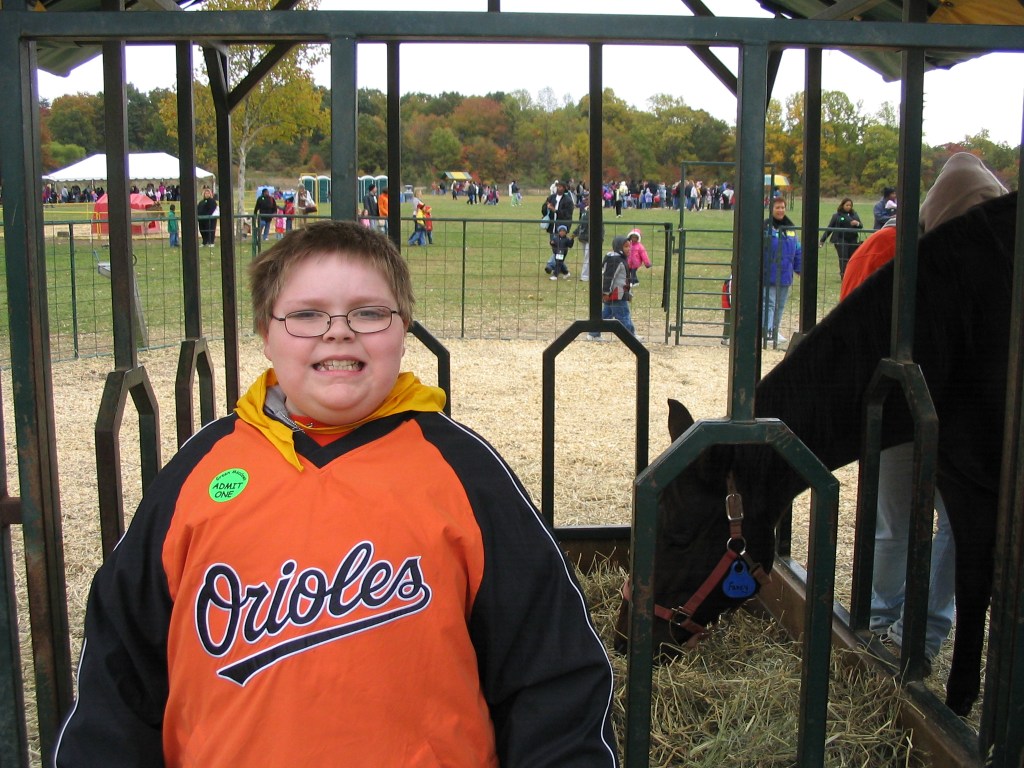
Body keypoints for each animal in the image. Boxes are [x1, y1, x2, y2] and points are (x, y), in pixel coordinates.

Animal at [615, 191, 1019, 717]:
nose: (624, 639)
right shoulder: (963, 484)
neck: (959, 331)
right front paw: (957, 703)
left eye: (679, 537)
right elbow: (971, 586)